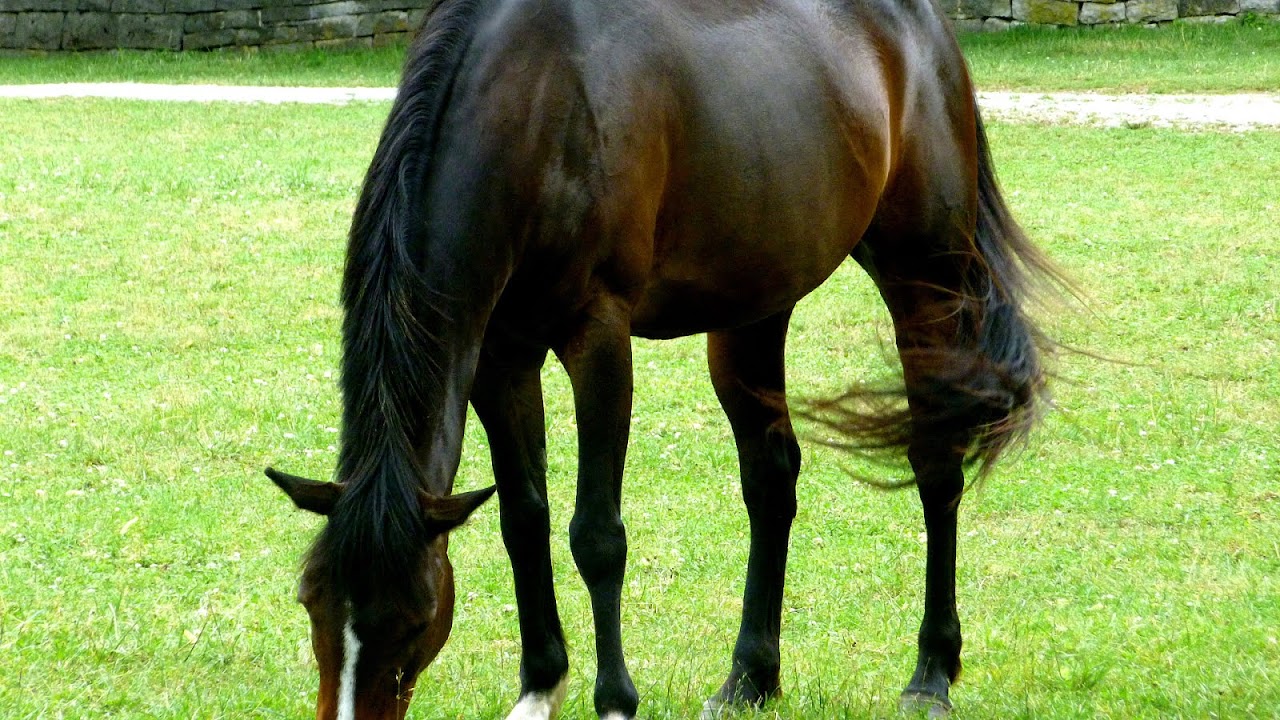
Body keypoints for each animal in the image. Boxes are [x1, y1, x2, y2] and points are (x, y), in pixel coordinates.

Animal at [264, 0, 1057, 718]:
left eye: (416, 618)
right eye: (310, 603)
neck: (536, 102)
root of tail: (925, 28)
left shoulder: (599, 339)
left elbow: (596, 535)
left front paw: (614, 700)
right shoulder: (499, 355)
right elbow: (524, 520)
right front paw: (540, 686)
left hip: (924, 277)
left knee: (936, 465)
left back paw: (931, 673)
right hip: (752, 309)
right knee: (771, 479)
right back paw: (749, 679)